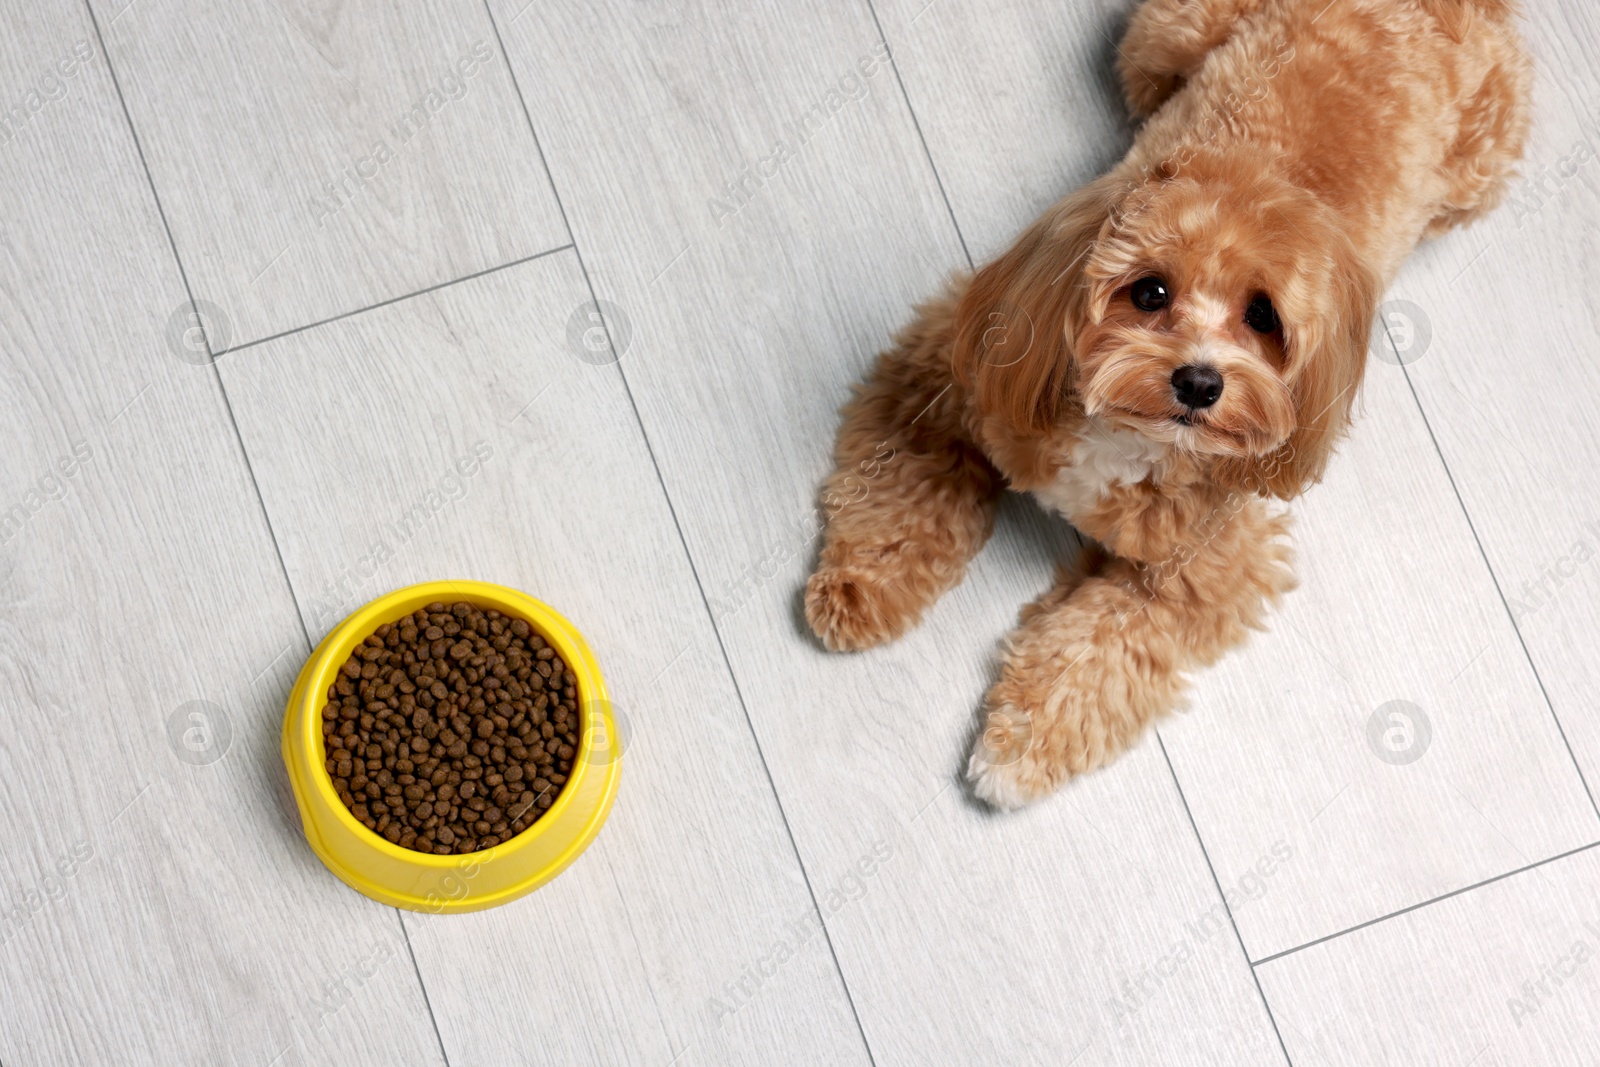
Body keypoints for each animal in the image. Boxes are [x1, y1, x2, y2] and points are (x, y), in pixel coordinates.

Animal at [806, 0, 1529, 806]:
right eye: (1149, 291)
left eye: (1263, 317)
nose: (1200, 382)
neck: (1125, 436)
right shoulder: (954, 378)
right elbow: (904, 496)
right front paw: (862, 586)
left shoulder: (1205, 567)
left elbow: (1101, 644)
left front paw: (1020, 748)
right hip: (1162, 36)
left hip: (1476, 169)